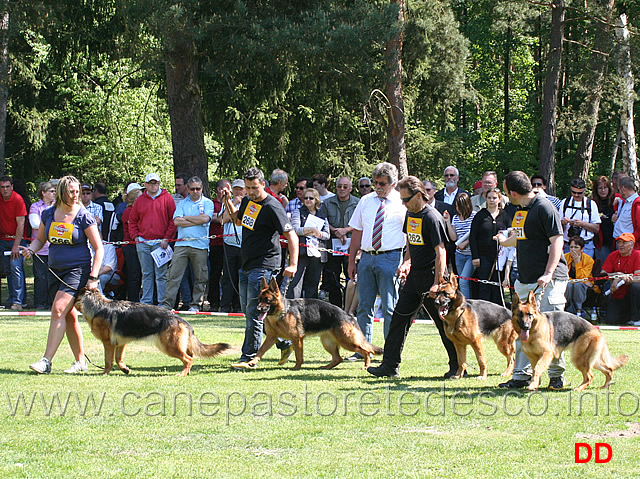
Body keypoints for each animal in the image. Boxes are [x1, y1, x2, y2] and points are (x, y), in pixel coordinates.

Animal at [74, 286, 234, 376]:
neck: (97, 306)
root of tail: (182, 320)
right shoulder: (121, 343)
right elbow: (118, 359)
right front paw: (125, 369)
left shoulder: (108, 343)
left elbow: (108, 361)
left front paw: (104, 373)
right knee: (190, 358)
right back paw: (186, 373)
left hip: (169, 347)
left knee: (188, 359)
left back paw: (182, 374)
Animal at [248, 278, 382, 372]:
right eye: (259, 299)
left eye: (267, 300)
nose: (257, 309)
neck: (281, 313)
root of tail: (348, 315)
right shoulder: (271, 338)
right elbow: (260, 350)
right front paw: (253, 361)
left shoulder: (297, 339)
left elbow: (298, 356)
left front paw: (296, 367)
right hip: (328, 343)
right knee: (338, 358)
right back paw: (327, 367)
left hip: (347, 341)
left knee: (366, 351)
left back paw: (366, 366)